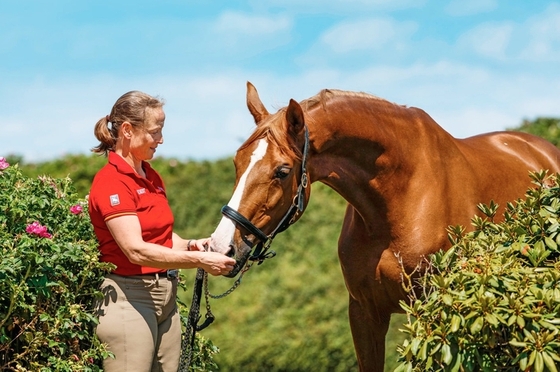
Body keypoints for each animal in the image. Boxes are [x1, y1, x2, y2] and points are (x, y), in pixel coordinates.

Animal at [208, 82, 560, 372]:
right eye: (237, 162)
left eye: (282, 171)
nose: (222, 246)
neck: (396, 203)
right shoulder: (365, 313)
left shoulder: (436, 317)